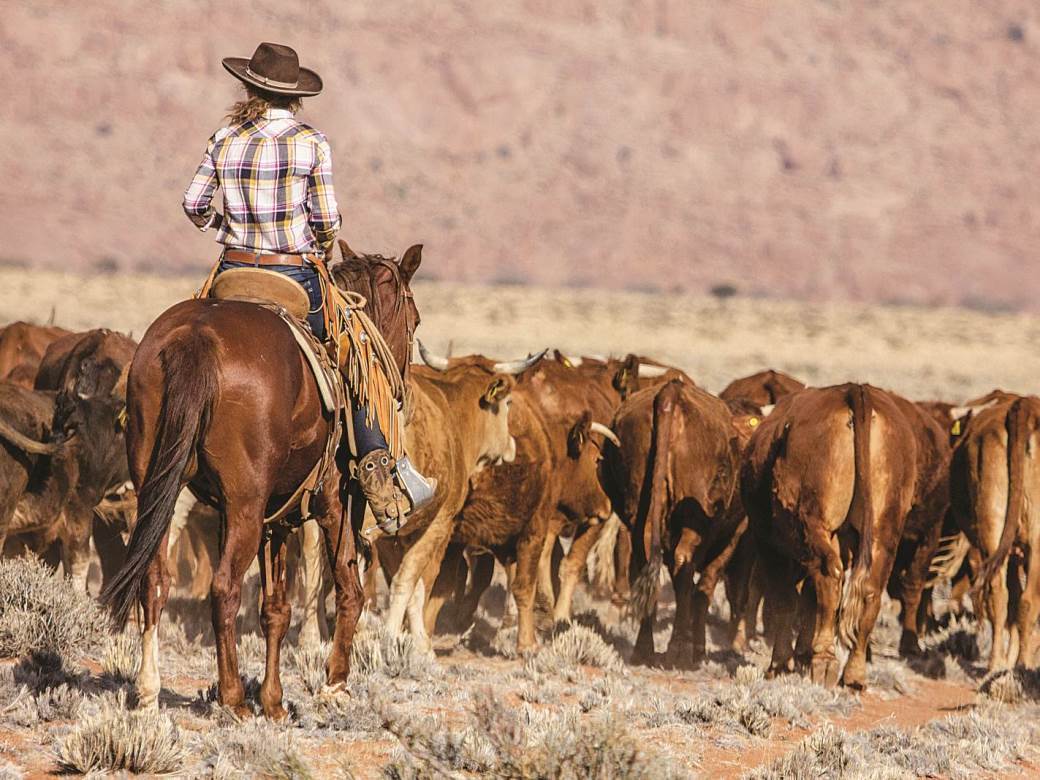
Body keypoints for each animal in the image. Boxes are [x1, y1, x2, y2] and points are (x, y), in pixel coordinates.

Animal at [99, 243, 420, 719]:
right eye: (414, 320)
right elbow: (349, 588)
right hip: (244, 506)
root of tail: (194, 338)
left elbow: (276, 608)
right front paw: (335, 685)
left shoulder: (276, 518)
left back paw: (148, 692)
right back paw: (233, 698)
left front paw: (274, 700)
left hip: (159, 490)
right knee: (224, 588)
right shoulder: (335, 503)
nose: (403, 388)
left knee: (154, 579)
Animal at [603, 382, 748, 669]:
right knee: (684, 564)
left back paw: (643, 649)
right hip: (692, 517)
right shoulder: (731, 538)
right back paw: (679, 650)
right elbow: (702, 590)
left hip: (641, 511)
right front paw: (698, 649)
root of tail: (671, 394)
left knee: (644, 562)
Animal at [740, 386, 952, 690]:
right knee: (870, 590)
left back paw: (825, 662)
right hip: (882, 534)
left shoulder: (770, 544)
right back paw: (854, 674)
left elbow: (784, 600)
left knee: (829, 577)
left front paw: (781, 663)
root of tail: (856, 390)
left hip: (815, 524)